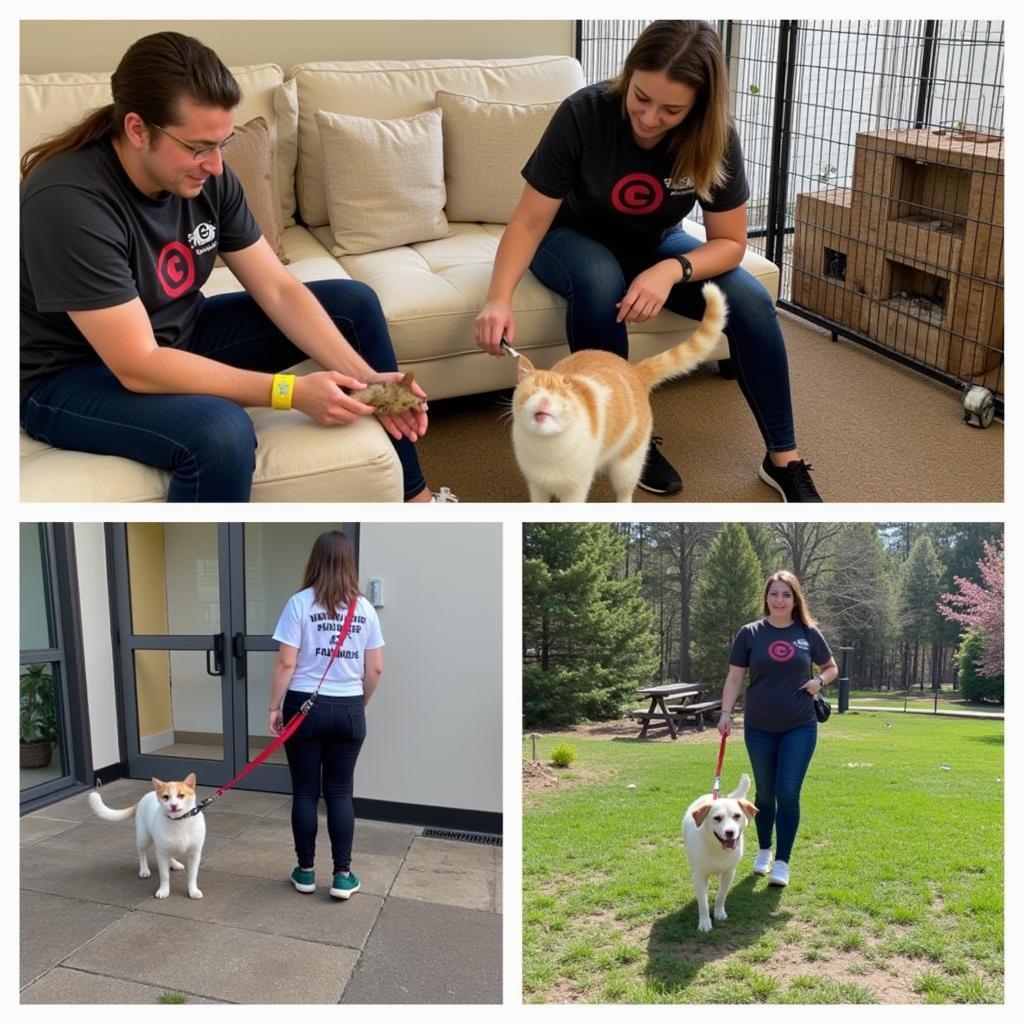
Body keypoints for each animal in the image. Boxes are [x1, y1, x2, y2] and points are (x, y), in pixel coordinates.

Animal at [89, 770, 206, 901]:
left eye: (181, 795)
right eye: (166, 797)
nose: (173, 805)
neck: (179, 821)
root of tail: (144, 797)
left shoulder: (194, 853)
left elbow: (192, 875)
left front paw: (193, 891)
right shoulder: (161, 853)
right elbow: (165, 875)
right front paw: (164, 890)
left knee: (169, 855)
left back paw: (174, 864)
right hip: (143, 838)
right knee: (142, 853)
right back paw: (144, 870)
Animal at [512, 282, 729, 501]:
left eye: (560, 396)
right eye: (532, 391)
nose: (544, 401)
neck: (546, 448)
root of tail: (633, 369)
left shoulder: (576, 489)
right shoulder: (536, 487)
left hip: (626, 465)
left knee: (625, 492)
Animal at [684, 770, 757, 933]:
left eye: (737, 816)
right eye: (717, 818)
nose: (730, 832)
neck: (718, 849)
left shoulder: (729, 873)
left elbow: (721, 895)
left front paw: (719, 912)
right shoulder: (699, 876)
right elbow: (703, 903)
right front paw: (705, 922)